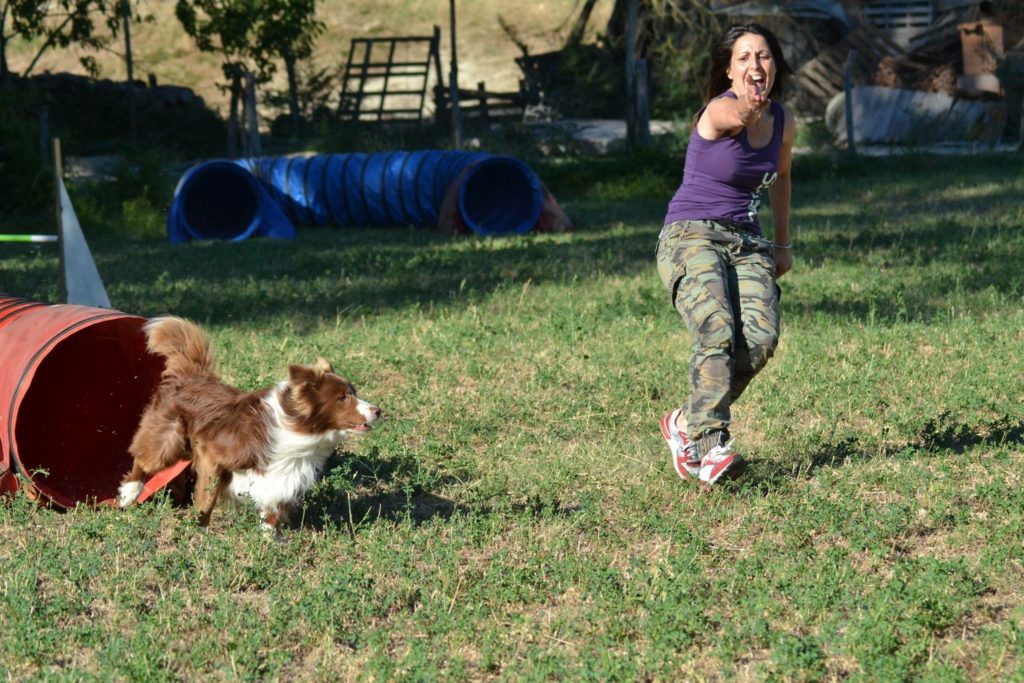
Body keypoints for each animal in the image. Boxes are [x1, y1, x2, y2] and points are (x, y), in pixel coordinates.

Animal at [117, 315, 380, 532]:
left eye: (353, 392)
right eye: (342, 397)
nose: (378, 410)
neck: (295, 427)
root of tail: (192, 374)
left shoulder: (284, 473)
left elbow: (273, 509)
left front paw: (270, 540)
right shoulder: (213, 455)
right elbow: (207, 498)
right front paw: (199, 531)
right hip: (170, 439)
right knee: (144, 459)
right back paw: (129, 494)